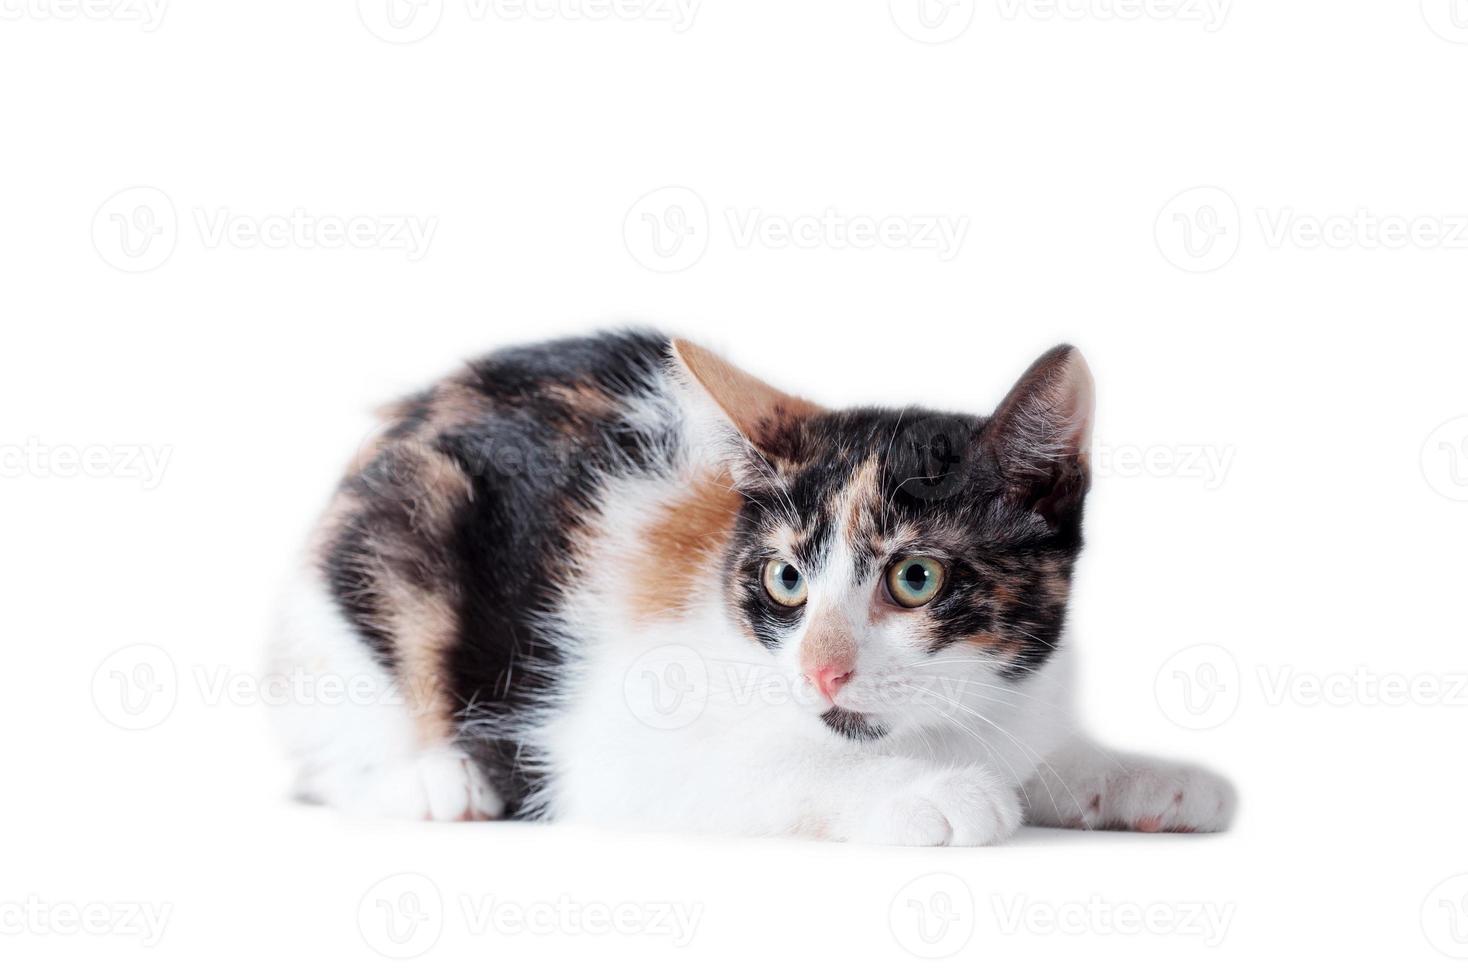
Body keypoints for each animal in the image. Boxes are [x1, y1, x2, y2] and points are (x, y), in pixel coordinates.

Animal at [270, 328, 1233, 845]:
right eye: (785, 580)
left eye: (916, 578)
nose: (821, 670)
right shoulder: (599, 749)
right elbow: (766, 770)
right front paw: (931, 791)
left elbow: (1040, 750)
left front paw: (1145, 777)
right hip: (392, 548)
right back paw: (434, 782)